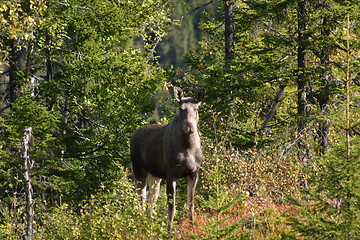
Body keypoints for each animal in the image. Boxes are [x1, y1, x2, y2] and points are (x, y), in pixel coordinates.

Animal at [130, 86, 204, 231]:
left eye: (197, 108)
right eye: (181, 108)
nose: (189, 128)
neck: (187, 147)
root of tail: (133, 137)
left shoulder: (194, 173)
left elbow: (191, 205)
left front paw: (192, 227)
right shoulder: (171, 174)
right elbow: (171, 208)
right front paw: (169, 230)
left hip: (155, 177)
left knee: (150, 204)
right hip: (139, 171)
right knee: (140, 200)